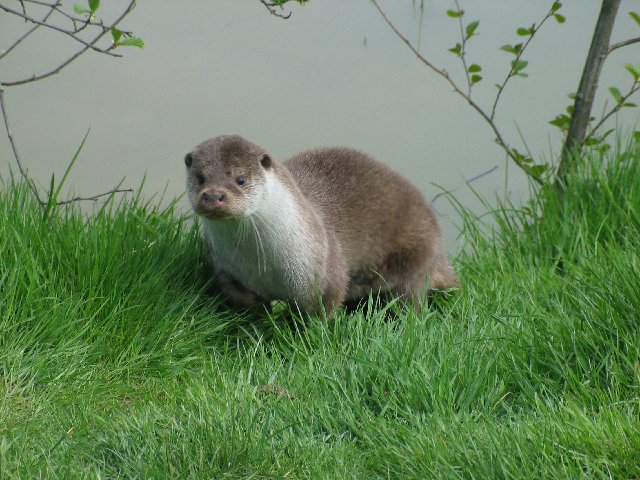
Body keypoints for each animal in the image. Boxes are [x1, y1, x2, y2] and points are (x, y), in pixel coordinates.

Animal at [184, 134, 456, 316]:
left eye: (240, 179)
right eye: (200, 178)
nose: (213, 196)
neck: (260, 265)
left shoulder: (326, 272)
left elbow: (324, 310)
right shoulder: (221, 263)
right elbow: (232, 290)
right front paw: (255, 304)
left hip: (417, 256)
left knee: (411, 299)